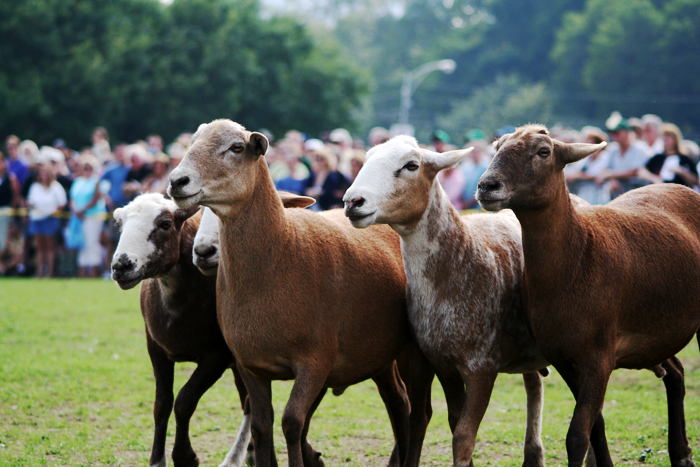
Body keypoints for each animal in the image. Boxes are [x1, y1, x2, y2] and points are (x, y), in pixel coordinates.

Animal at [166, 119, 412, 467]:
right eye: (192, 142)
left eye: (236, 148)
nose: (177, 181)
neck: (283, 254)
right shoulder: (249, 363)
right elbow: (261, 425)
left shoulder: (315, 360)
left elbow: (293, 422)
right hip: (377, 355)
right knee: (398, 402)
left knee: (406, 405)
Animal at [344, 135, 552, 467]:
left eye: (411, 165)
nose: (352, 202)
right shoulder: (439, 362)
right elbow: (447, 422)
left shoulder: (482, 366)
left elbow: (463, 436)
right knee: (535, 385)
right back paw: (533, 453)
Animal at [476, 124, 700, 467]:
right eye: (497, 146)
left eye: (544, 151)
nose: (486, 186)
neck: (579, 255)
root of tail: (680, 186)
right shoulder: (564, 358)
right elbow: (596, 426)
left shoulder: (599, 357)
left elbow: (578, 436)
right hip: (656, 333)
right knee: (675, 373)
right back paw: (682, 454)